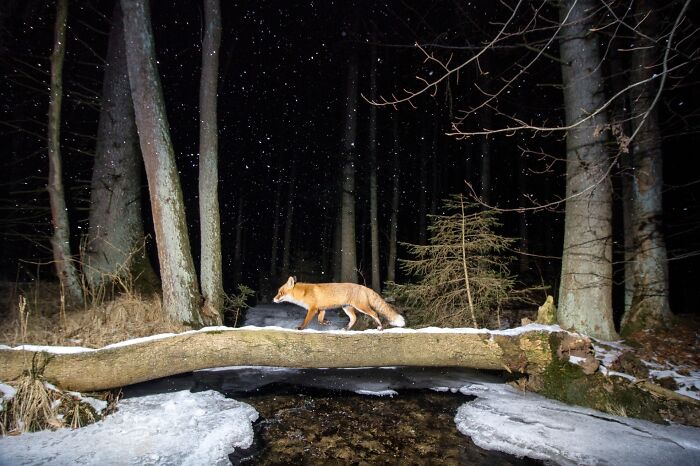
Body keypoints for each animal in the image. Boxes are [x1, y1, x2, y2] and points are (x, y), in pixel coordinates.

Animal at [273, 276, 406, 331]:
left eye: (280, 292)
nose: (273, 299)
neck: (303, 293)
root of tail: (363, 287)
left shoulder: (313, 309)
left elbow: (306, 321)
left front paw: (301, 328)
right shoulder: (321, 309)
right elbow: (320, 321)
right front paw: (326, 323)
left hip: (362, 307)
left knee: (375, 314)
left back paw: (380, 327)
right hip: (347, 308)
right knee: (354, 318)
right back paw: (347, 328)